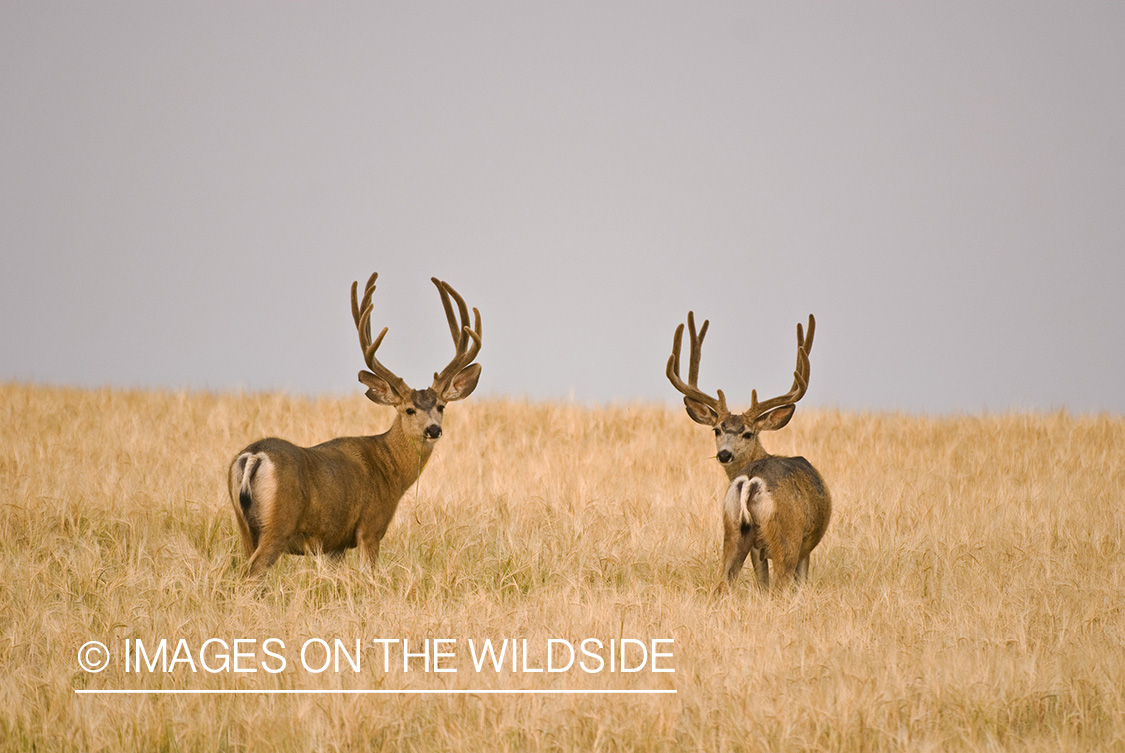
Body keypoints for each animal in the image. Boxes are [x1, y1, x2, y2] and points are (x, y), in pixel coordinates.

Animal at [227, 272, 482, 577]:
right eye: (409, 410)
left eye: (441, 407)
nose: (433, 429)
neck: (389, 468)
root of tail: (253, 455)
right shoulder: (371, 527)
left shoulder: (334, 544)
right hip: (279, 523)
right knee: (252, 572)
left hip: (244, 525)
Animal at [667, 311, 830, 592]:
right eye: (717, 430)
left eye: (747, 433)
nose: (724, 455)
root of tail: (751, 480)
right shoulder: (804, 548)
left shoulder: (756, 550)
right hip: (786, 537)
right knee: (780, 586)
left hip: (732, 530)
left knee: (723, 583)